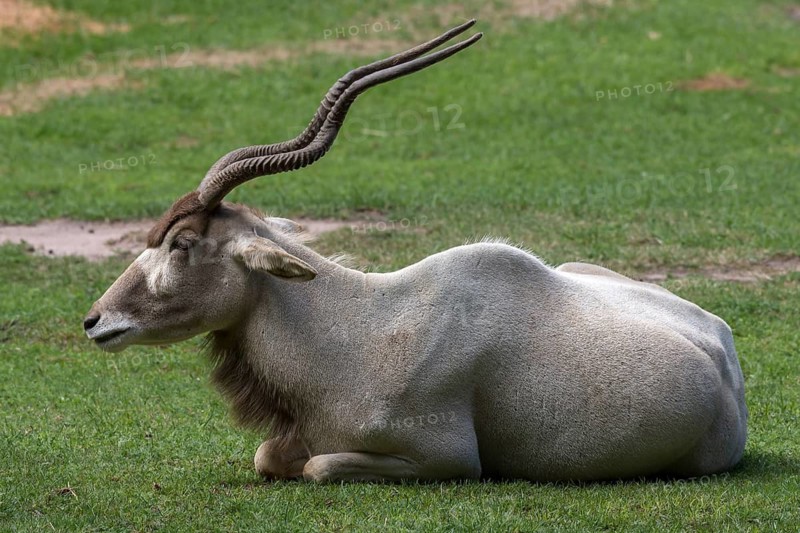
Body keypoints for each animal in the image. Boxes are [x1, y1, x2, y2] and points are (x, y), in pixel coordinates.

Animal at [84, 20, 747, 482]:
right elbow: (267, 456)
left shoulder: (443, 459)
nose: (95, 320)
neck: (356, 328)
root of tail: (721, 344)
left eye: (183, 242)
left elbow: (318, 466)